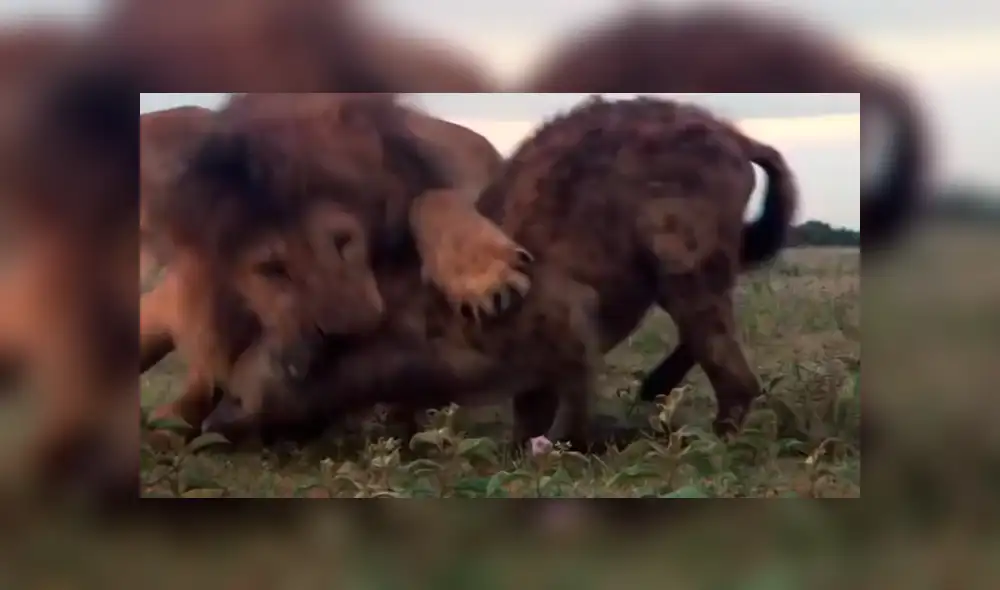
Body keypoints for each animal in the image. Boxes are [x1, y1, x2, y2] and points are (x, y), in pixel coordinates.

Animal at [201, 95, 799, 448]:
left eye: (237, 395)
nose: (208, 424)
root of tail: (735, 135)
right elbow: (530, 405)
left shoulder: (563, 311)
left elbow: (569, 400)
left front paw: (559, 451)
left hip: (682, 249)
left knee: (724, 352)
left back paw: (715, 436)